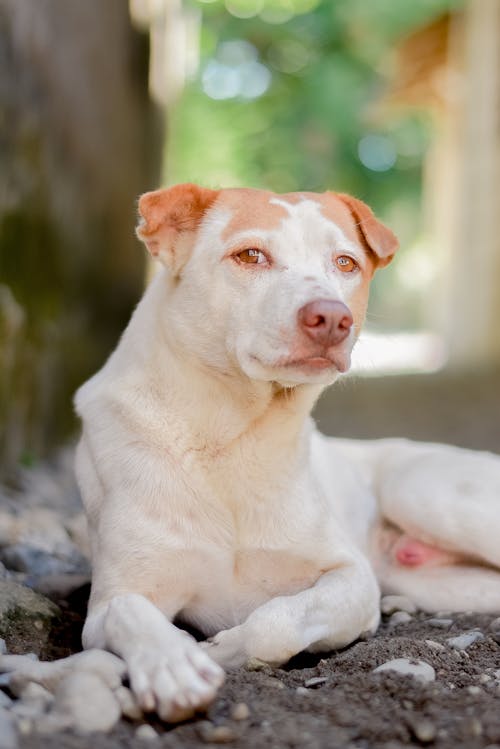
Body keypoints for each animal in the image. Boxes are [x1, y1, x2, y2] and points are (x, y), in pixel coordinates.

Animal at [74, 181, 500, 720]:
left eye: (345, 263)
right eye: (250, 255)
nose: (332, 318)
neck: (230, 439)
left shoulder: (351, 579)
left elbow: (274, 621)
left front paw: (220, 650)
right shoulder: (109, 604)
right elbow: (130, 612)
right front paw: (173, 665)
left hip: (421, 491)